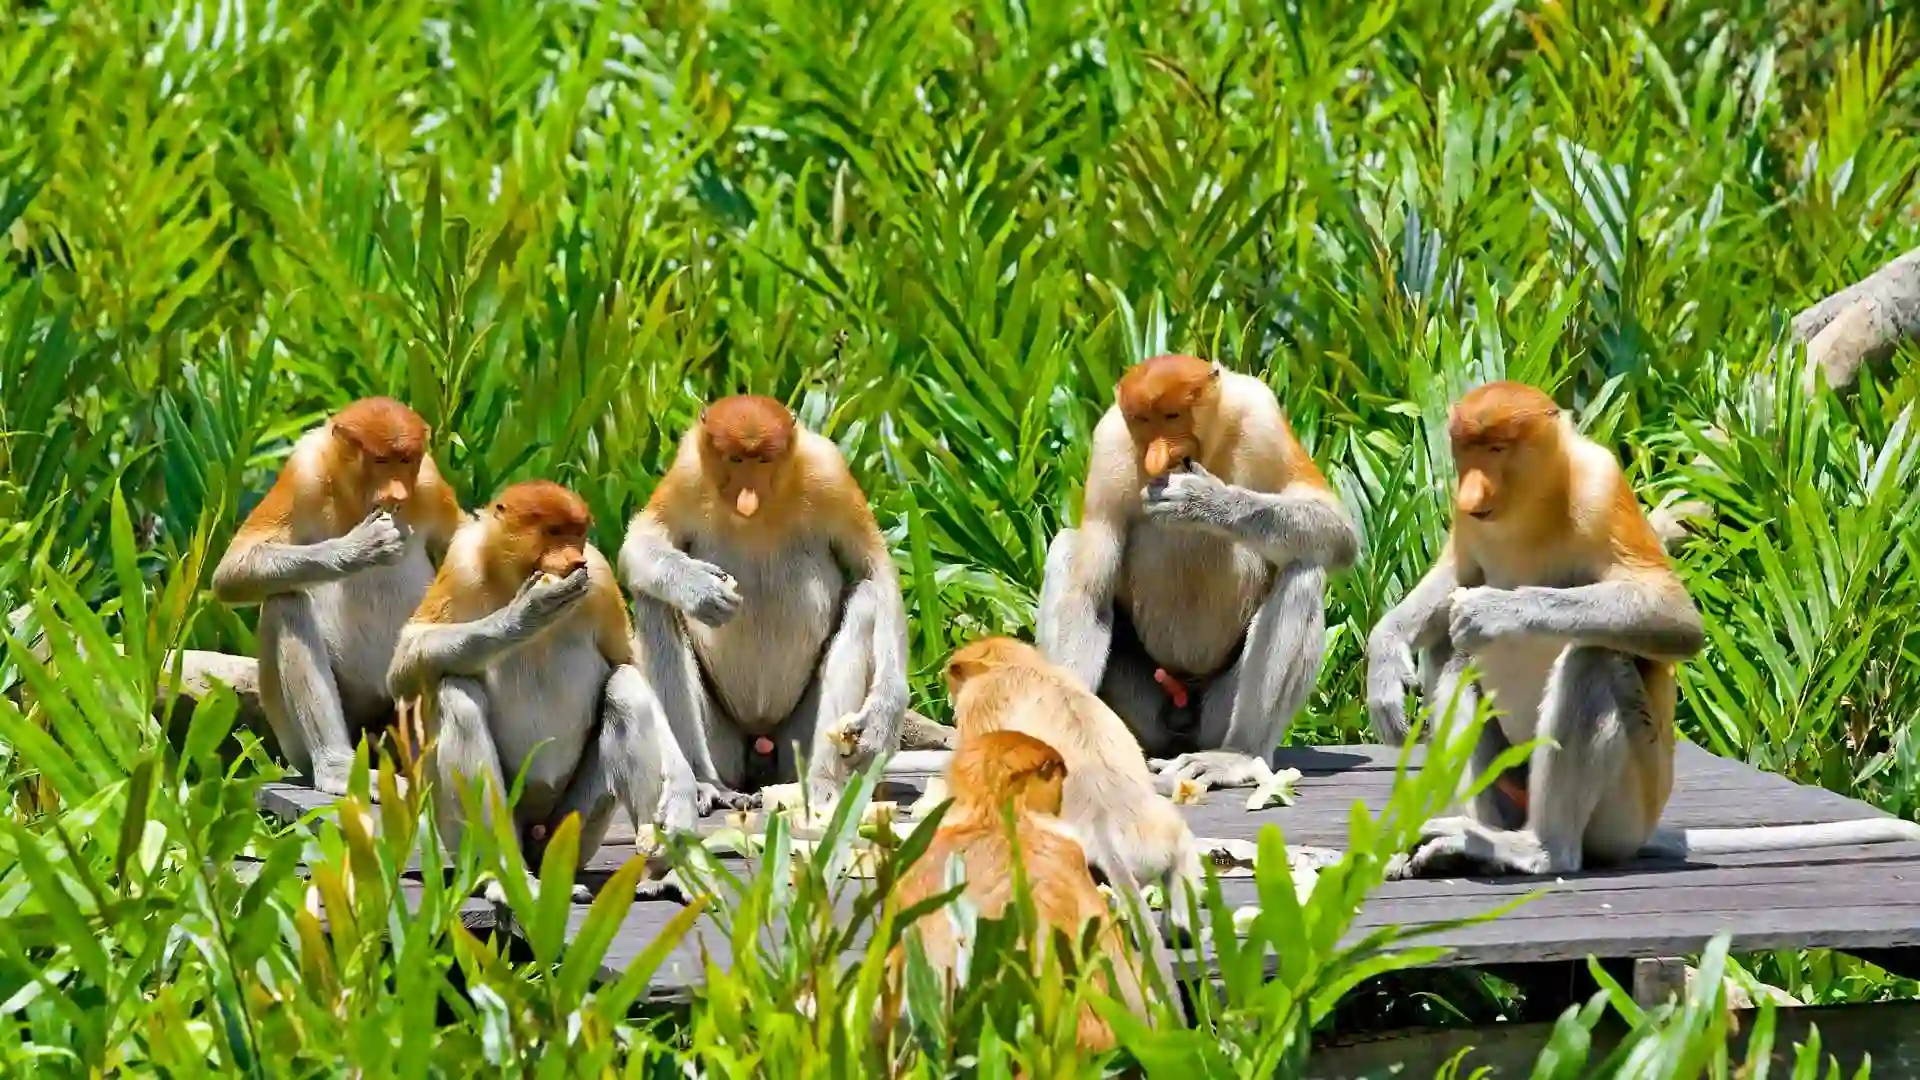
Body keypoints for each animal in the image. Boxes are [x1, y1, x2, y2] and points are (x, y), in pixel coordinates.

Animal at [212, 397, 463, 796]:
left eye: (407, 459)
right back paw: (339, 769)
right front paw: (363, 546)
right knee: (286, 600)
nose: (397, 495)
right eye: (381, 461)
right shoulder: (303, 473)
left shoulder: (429, 483)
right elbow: (233, 570)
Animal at [386, 480, 699, 895]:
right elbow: (404, 664)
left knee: (625, 686)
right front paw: (527, 613)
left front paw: (681, 799)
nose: (573, 560)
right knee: (456, 693)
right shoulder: (462, 565)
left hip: (573, 828)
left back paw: (655, 863)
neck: (510, 573)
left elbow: (628, 663)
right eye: (552, 531)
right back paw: (507, 878)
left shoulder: (599, 576)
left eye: (577, 533)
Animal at [619, 394, 910, 810]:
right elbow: (640, 541)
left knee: (867, 600)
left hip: (795, 743)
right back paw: (706, 783)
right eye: (735, 459)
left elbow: (876, 571)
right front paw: (700, 590)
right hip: (724, 746)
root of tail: (760, 739)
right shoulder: (688, 473)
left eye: (764, 460)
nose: (747, 499)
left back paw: (820, 785)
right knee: (654, 602)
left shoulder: (830, 472)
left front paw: (882, 720)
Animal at [1036, 354, 1359, 792]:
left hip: (1216, 715)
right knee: (1067, 548)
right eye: (1142, 420)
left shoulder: (1262, 414)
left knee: (1304, 572)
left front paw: (1202, 500)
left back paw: (1238, 755)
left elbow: (1337, 528)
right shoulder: (1109, 446)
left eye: (1173, 415)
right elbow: (1088, 595)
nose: (1156, 457)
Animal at [1366, 381, 1920, 880]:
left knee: (1590, 656)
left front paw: (1491, 610)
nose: (1471, 493)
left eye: (1497, 449)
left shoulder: (1601, 487)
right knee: (1447, 654)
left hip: (1628, 805)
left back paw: (1535, 851)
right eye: (1465, 451)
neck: (1531, 507)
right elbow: (1455, 575)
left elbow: (1673, 617)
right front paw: (1386, 659)